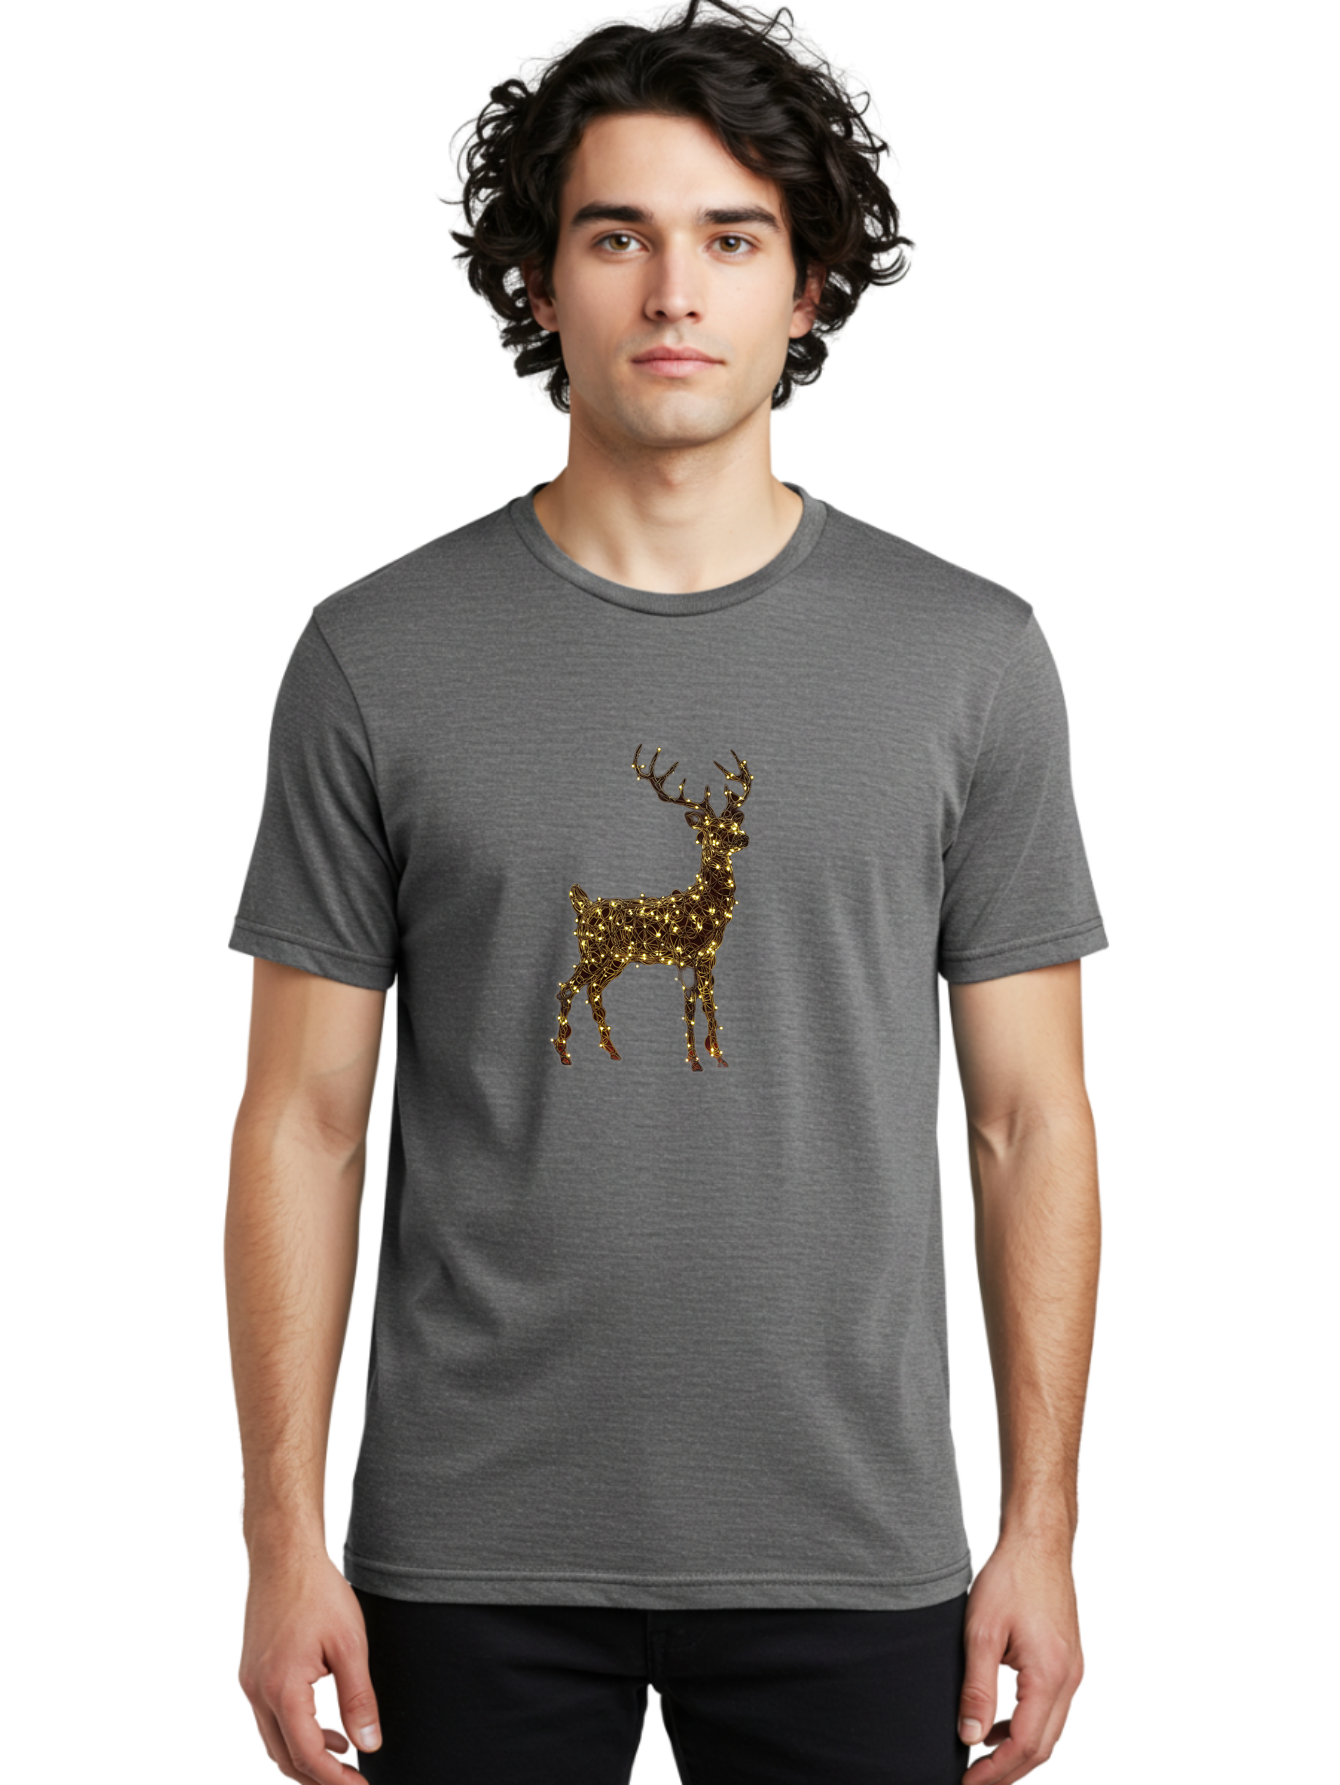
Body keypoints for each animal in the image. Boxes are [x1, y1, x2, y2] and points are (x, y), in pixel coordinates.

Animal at [551, 742, 754, 1070]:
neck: (704, 906)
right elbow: (689, 1007)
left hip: (615, 959)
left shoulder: (708, 956)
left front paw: (719, 1056)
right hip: (592, 952)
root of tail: (583, 906)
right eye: (712, 829)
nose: (743, 838)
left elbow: (709, 1004)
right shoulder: (684, 955)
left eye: (733, 823)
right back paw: (564, 1054)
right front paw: (694, 1061)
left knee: (593, 991)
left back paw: (612, 1051)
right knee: (566, 989)